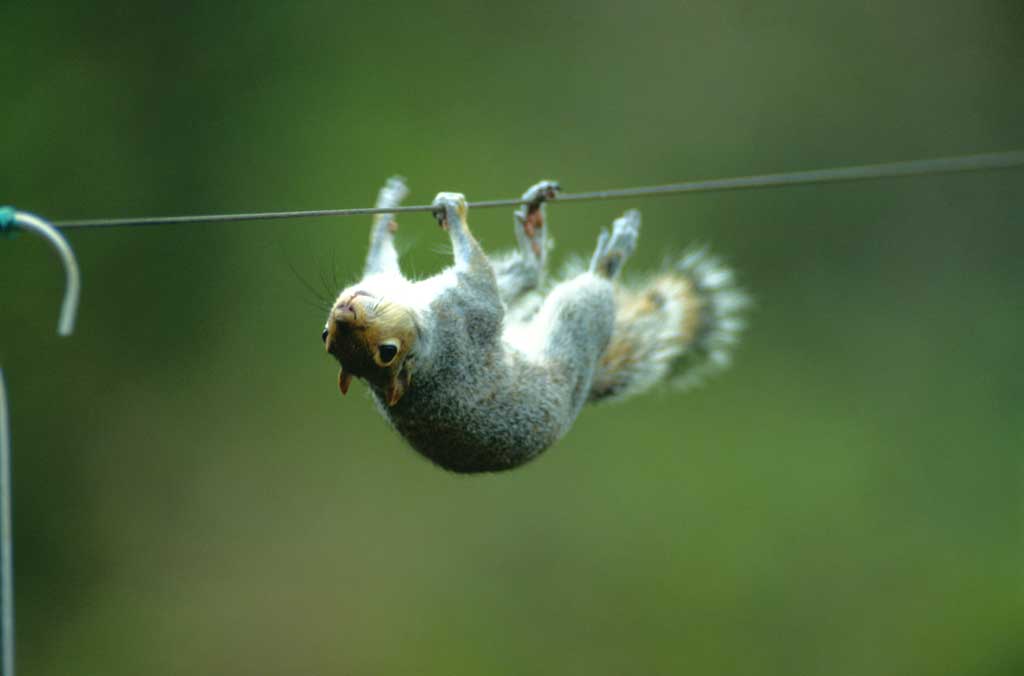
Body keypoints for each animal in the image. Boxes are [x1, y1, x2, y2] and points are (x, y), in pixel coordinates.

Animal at [322, 177, 748, 473]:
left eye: (324, 336)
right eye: (387, 353)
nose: (343, 311)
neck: (423, 331)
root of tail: (585, 387)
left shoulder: (407, 289)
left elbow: (380, 259)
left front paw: (386, 210)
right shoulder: (467, 317)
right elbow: (483, 278)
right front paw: (455, 214)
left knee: (528, 273)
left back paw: (534, 229)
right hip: (577, 316)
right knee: (588, 291)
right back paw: (610, 256)